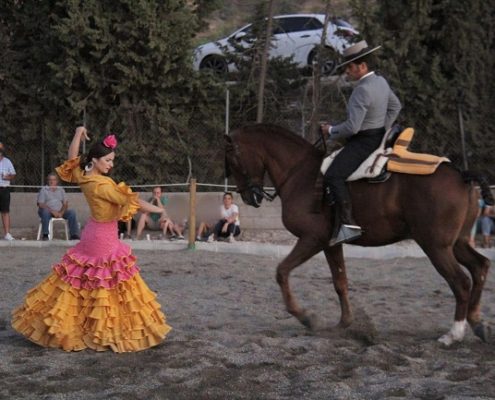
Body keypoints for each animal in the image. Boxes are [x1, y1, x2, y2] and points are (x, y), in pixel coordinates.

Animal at [227, 123, 494, 346]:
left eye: (233, 159)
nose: (249, 196)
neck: (300, 174)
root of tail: (462, 175)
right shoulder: (331, 243)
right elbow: (340, 281)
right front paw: (344, 323)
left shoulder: (312, 239)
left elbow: (282, 271)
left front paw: (307, 317)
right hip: (456, 243)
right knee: (479, 267)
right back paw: (477, 323)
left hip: (435, 246)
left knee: (461, 281)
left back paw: (454, 333)